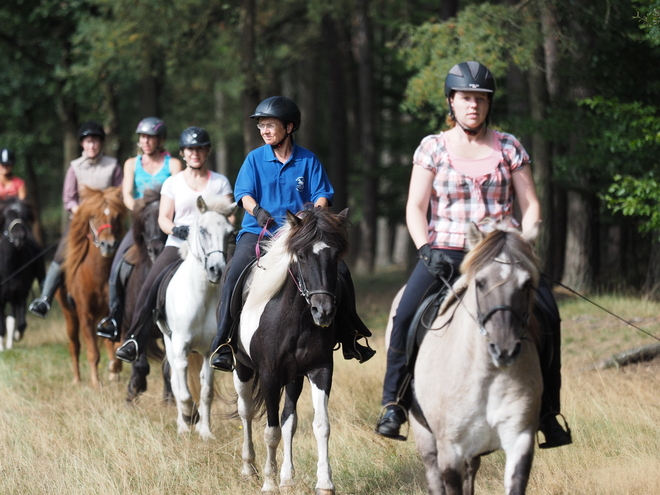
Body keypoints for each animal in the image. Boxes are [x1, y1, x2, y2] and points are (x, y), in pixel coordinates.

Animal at [0, 200, 44, 350]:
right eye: (7, 216)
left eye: (25, 216)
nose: (19, 237)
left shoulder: (20, 293)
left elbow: (21, 322)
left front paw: (17, 335)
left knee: (12, 317)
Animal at [57, 186, 127, 388]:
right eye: (94, 216)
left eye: (116, 216)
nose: (108, 245)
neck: (98, 274)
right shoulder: (85, 314)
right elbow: (93, 352)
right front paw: (96, 383)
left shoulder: (113, 313)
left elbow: (116, 345)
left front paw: (114, 369)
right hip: (70, 316)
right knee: (74, 345)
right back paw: (77, 379)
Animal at [233, 207, 350, 495]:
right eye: (302, 255)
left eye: (335, 255)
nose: (323, 311)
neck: (295, 319)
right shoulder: (269, 375)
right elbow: (270, 431)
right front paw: (268, 482)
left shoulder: (320, 370)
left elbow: (320, 425)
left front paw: (325, 483)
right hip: (242, 368)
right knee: (246, 412)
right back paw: (249, 468)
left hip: (294, 377)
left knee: (289, 420)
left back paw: (286, 478)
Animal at [386, 222, 540, 495]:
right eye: (480, 283)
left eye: (526, 284)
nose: (504, 349)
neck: (487, 374)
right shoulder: (450, 449)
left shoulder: (519, 438)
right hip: (426, 437)